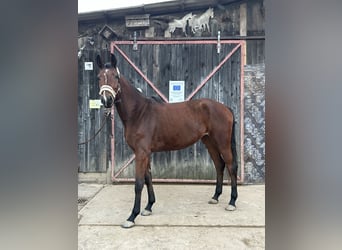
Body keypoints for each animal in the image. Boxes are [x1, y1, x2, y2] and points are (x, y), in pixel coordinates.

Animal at [96, 53, 238, 229]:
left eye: (115, 76)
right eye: (99, 77)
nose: (106, 100)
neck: (139, 113)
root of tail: (226, 108)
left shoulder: (141, 153)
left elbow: (138, 184)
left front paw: (132, 217)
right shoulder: (144, 153)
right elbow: (148, 179)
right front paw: (148, 207)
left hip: (223, 143)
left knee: (231, 166)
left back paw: (232, 202)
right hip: (209, 142)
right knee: (219, 165)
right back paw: (215, 197)